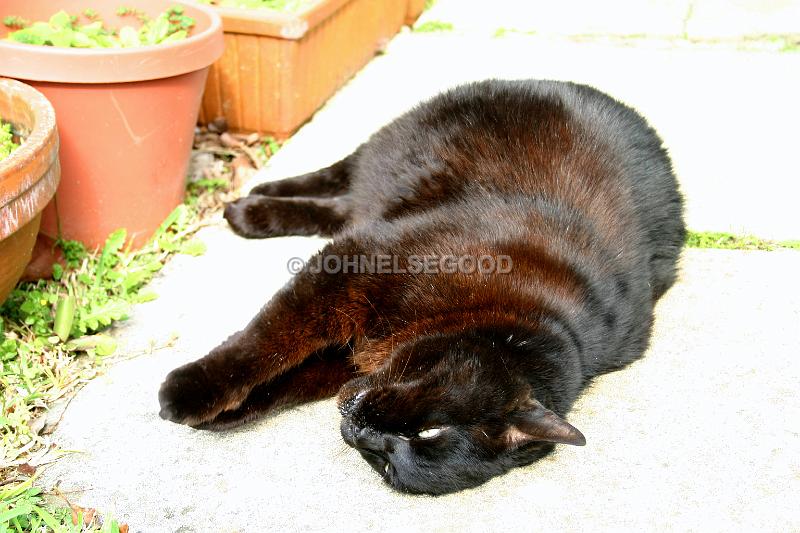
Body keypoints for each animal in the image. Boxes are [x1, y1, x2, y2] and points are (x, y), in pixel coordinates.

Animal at [159, 79, 684, 494]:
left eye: (390, 461)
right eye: (432, 428)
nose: (363, 431)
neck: (520, 315)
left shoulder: (351, 352)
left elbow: (288, 381)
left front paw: (228, 415)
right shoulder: (355, 266)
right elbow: (267, 341)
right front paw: (191, 392)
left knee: (341, 206)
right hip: (392, 149)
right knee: (337, 175)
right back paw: (249, 204)